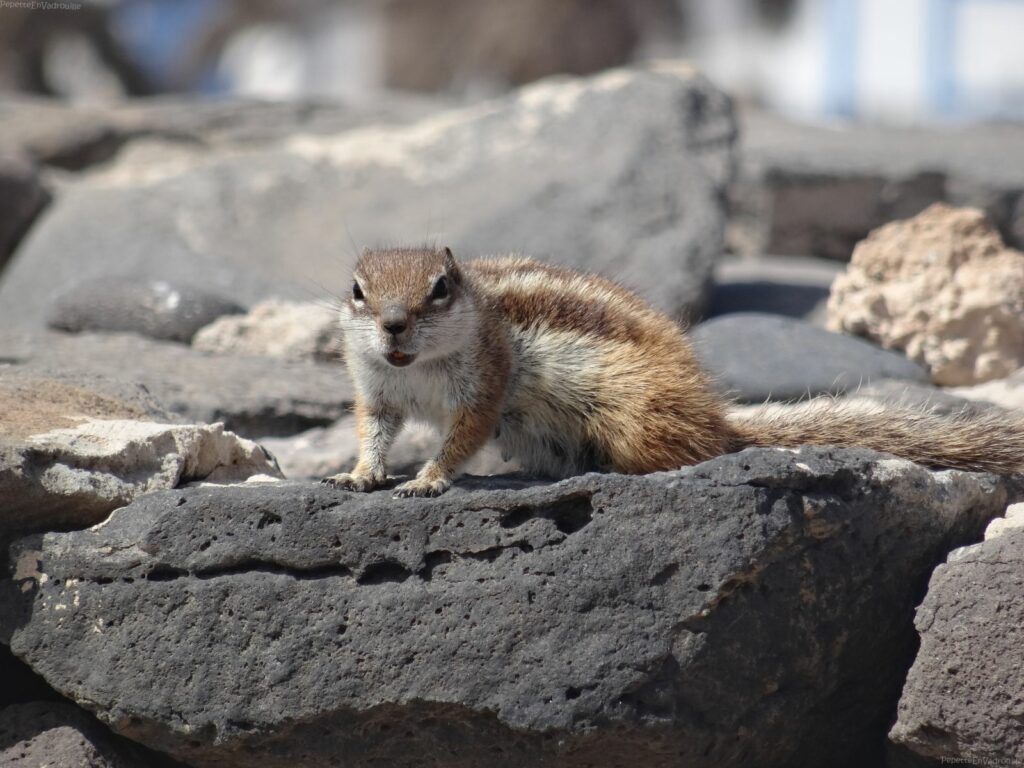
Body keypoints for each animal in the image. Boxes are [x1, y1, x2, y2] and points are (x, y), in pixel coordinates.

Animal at [321, 246, 1024, 499]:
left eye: (440, 289)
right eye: (357, 291)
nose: (393, 325)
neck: (416, 368)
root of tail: (711, 412)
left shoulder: (486, 383)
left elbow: (462, 437)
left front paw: (427, 479)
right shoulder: (377, 391)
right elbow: (374, 429)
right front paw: (359, 473)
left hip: (635, 416)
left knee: (687, 451)